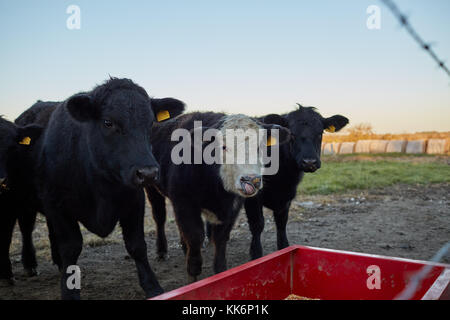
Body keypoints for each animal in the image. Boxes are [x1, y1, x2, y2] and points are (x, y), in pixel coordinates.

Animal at [19, 78, 185, 300]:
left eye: (150, 123)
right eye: (108, 122)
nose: (148, 172)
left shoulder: (134, 200)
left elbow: (136, 245)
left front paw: (152, 286)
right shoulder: (57, 205)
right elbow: (70, 247)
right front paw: (69, 291)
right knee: (27, 229)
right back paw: (30, 265)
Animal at [146, 112, 290, 282]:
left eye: (260, 147)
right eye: (224, 147)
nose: (251, 180)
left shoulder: (231, 209)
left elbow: (220, 239)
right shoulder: (184, 204)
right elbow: (195, 237)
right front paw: (193, 278)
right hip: (151, 187)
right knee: (159, 216)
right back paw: (162, 251)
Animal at [243, 104, 348, 258]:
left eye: (320, 133)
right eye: (291, 134)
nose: (309, 162)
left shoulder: (287, 197)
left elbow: (281, 224)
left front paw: (284, 249)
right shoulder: (252, 196)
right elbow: (257, 225)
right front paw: (256, 255)